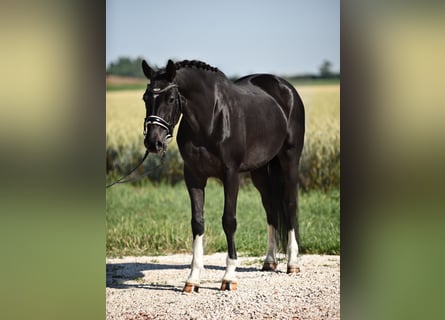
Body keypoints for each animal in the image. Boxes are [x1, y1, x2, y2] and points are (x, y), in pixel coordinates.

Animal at [140, 58, 304, 292]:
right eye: (145, 98)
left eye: (170, 99)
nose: (153, 142)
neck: (210, 118)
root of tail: (285, 88)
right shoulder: (193, 176)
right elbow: (197, 222)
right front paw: (193, 279)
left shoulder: (231, 175)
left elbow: (229, 221)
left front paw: (228, 277)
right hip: (260, 171)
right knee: (271, 209)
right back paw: (269, 261)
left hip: (289, 160)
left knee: (289, 205)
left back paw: (292, 263)